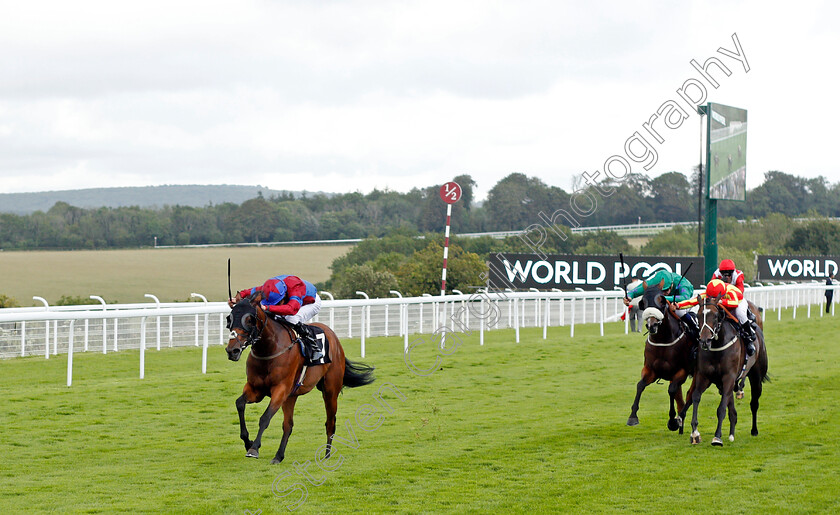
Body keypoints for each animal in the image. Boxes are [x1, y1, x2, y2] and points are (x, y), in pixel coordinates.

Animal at [226, 294, 378, 464]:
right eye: (229, 318)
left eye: (249, 320)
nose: (232, 350)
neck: (269, 349)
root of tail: (334, 338)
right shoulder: (256, 389)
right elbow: (239, 404)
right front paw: (248, 442)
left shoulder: (280, 390)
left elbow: (265, 418)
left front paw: (254, 448)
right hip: (291, 396)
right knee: (288, 425)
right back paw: (279, 456)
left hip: (330, 391)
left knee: (330, 422)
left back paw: (326, 454)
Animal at [628, 280, 700, 434]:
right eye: (643, 302)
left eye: (662, 300)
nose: (652, 325)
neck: (663, 341)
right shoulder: (651, 370)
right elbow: (640, 385)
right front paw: (632, 416)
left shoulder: (681, 371)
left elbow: (671, 391)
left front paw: (672, 421)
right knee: (682, 400)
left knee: (689, 395)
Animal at [684, 296, 768, 446]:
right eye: (698, 315)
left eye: (715, 315)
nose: (704, 341)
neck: (718, 345)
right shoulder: (704, 376)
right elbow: (696, 397)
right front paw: (695, 433)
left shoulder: (728, 376)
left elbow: (721, 408)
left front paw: (717, 437)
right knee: (732, 406)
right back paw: (731, 433)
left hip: (756, 377)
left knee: (754, 403)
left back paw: (754, 430)